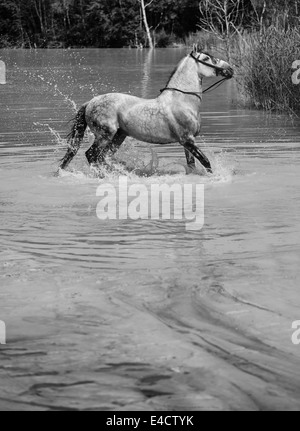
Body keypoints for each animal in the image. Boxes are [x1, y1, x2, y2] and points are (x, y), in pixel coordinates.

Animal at [58, 46, 232, 174]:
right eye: (206, 59)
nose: (229, 69)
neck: (182, 101)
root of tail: (91, 102)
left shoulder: (187, 142)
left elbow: (192, 166)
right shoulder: (187, 140)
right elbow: (206, 162)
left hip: (118, 136)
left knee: (103, 158)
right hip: (104, 135)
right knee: (92, 155)